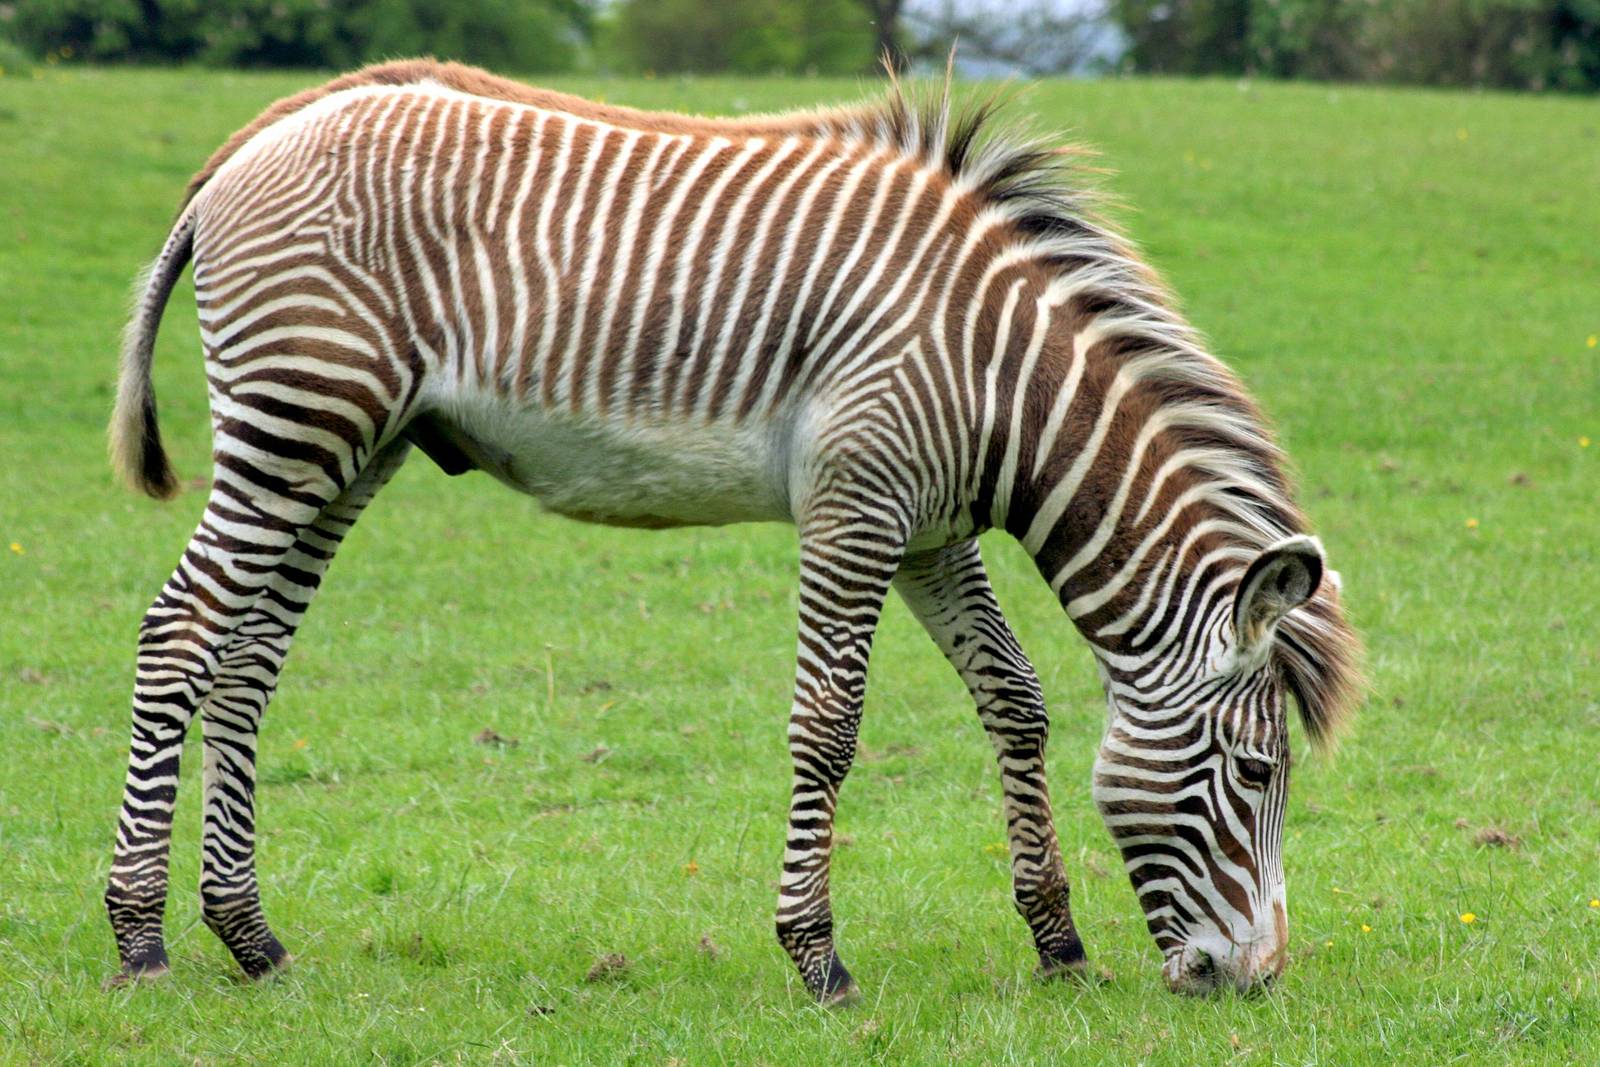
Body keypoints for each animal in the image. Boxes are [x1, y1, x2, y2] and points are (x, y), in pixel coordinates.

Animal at [106, 60, 1362, 1000]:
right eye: (1258, 771)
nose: (1253, 978)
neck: (1005, 382)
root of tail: (258, 136)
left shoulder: (928, 530)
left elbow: (1013, 694)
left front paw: (1054, 938)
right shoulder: (857, 504)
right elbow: (829, 723)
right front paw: (815, 953)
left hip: (350, 445)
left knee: (248, 658)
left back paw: (250, 936)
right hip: (298, 415)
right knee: (180, 632)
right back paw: (139, 938)